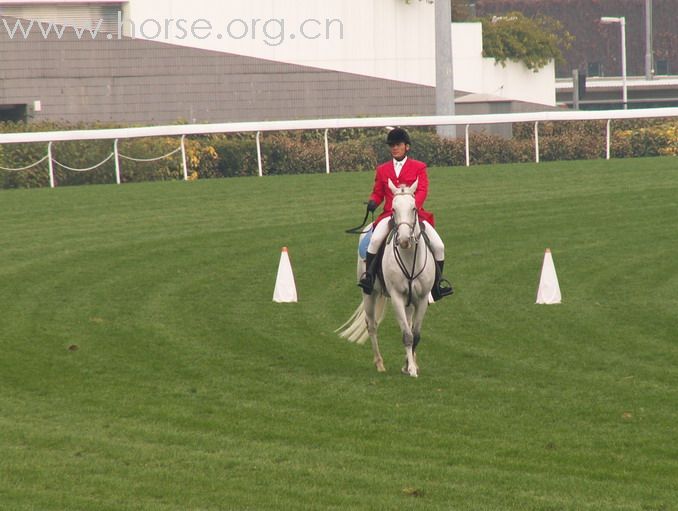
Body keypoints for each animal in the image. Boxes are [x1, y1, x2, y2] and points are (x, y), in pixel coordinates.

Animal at [338, 179, 436, 376]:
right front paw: (411, 369)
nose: (404, 240)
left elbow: (415, 334)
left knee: (407, 323)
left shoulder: (421, 299)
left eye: (414, 208)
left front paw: (409, 365)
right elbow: (407, 335)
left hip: (409, 301)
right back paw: (379, 364)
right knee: (372, 325)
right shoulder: (397, 297)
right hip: (369, 294)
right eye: (393, 210)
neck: (409, 258)